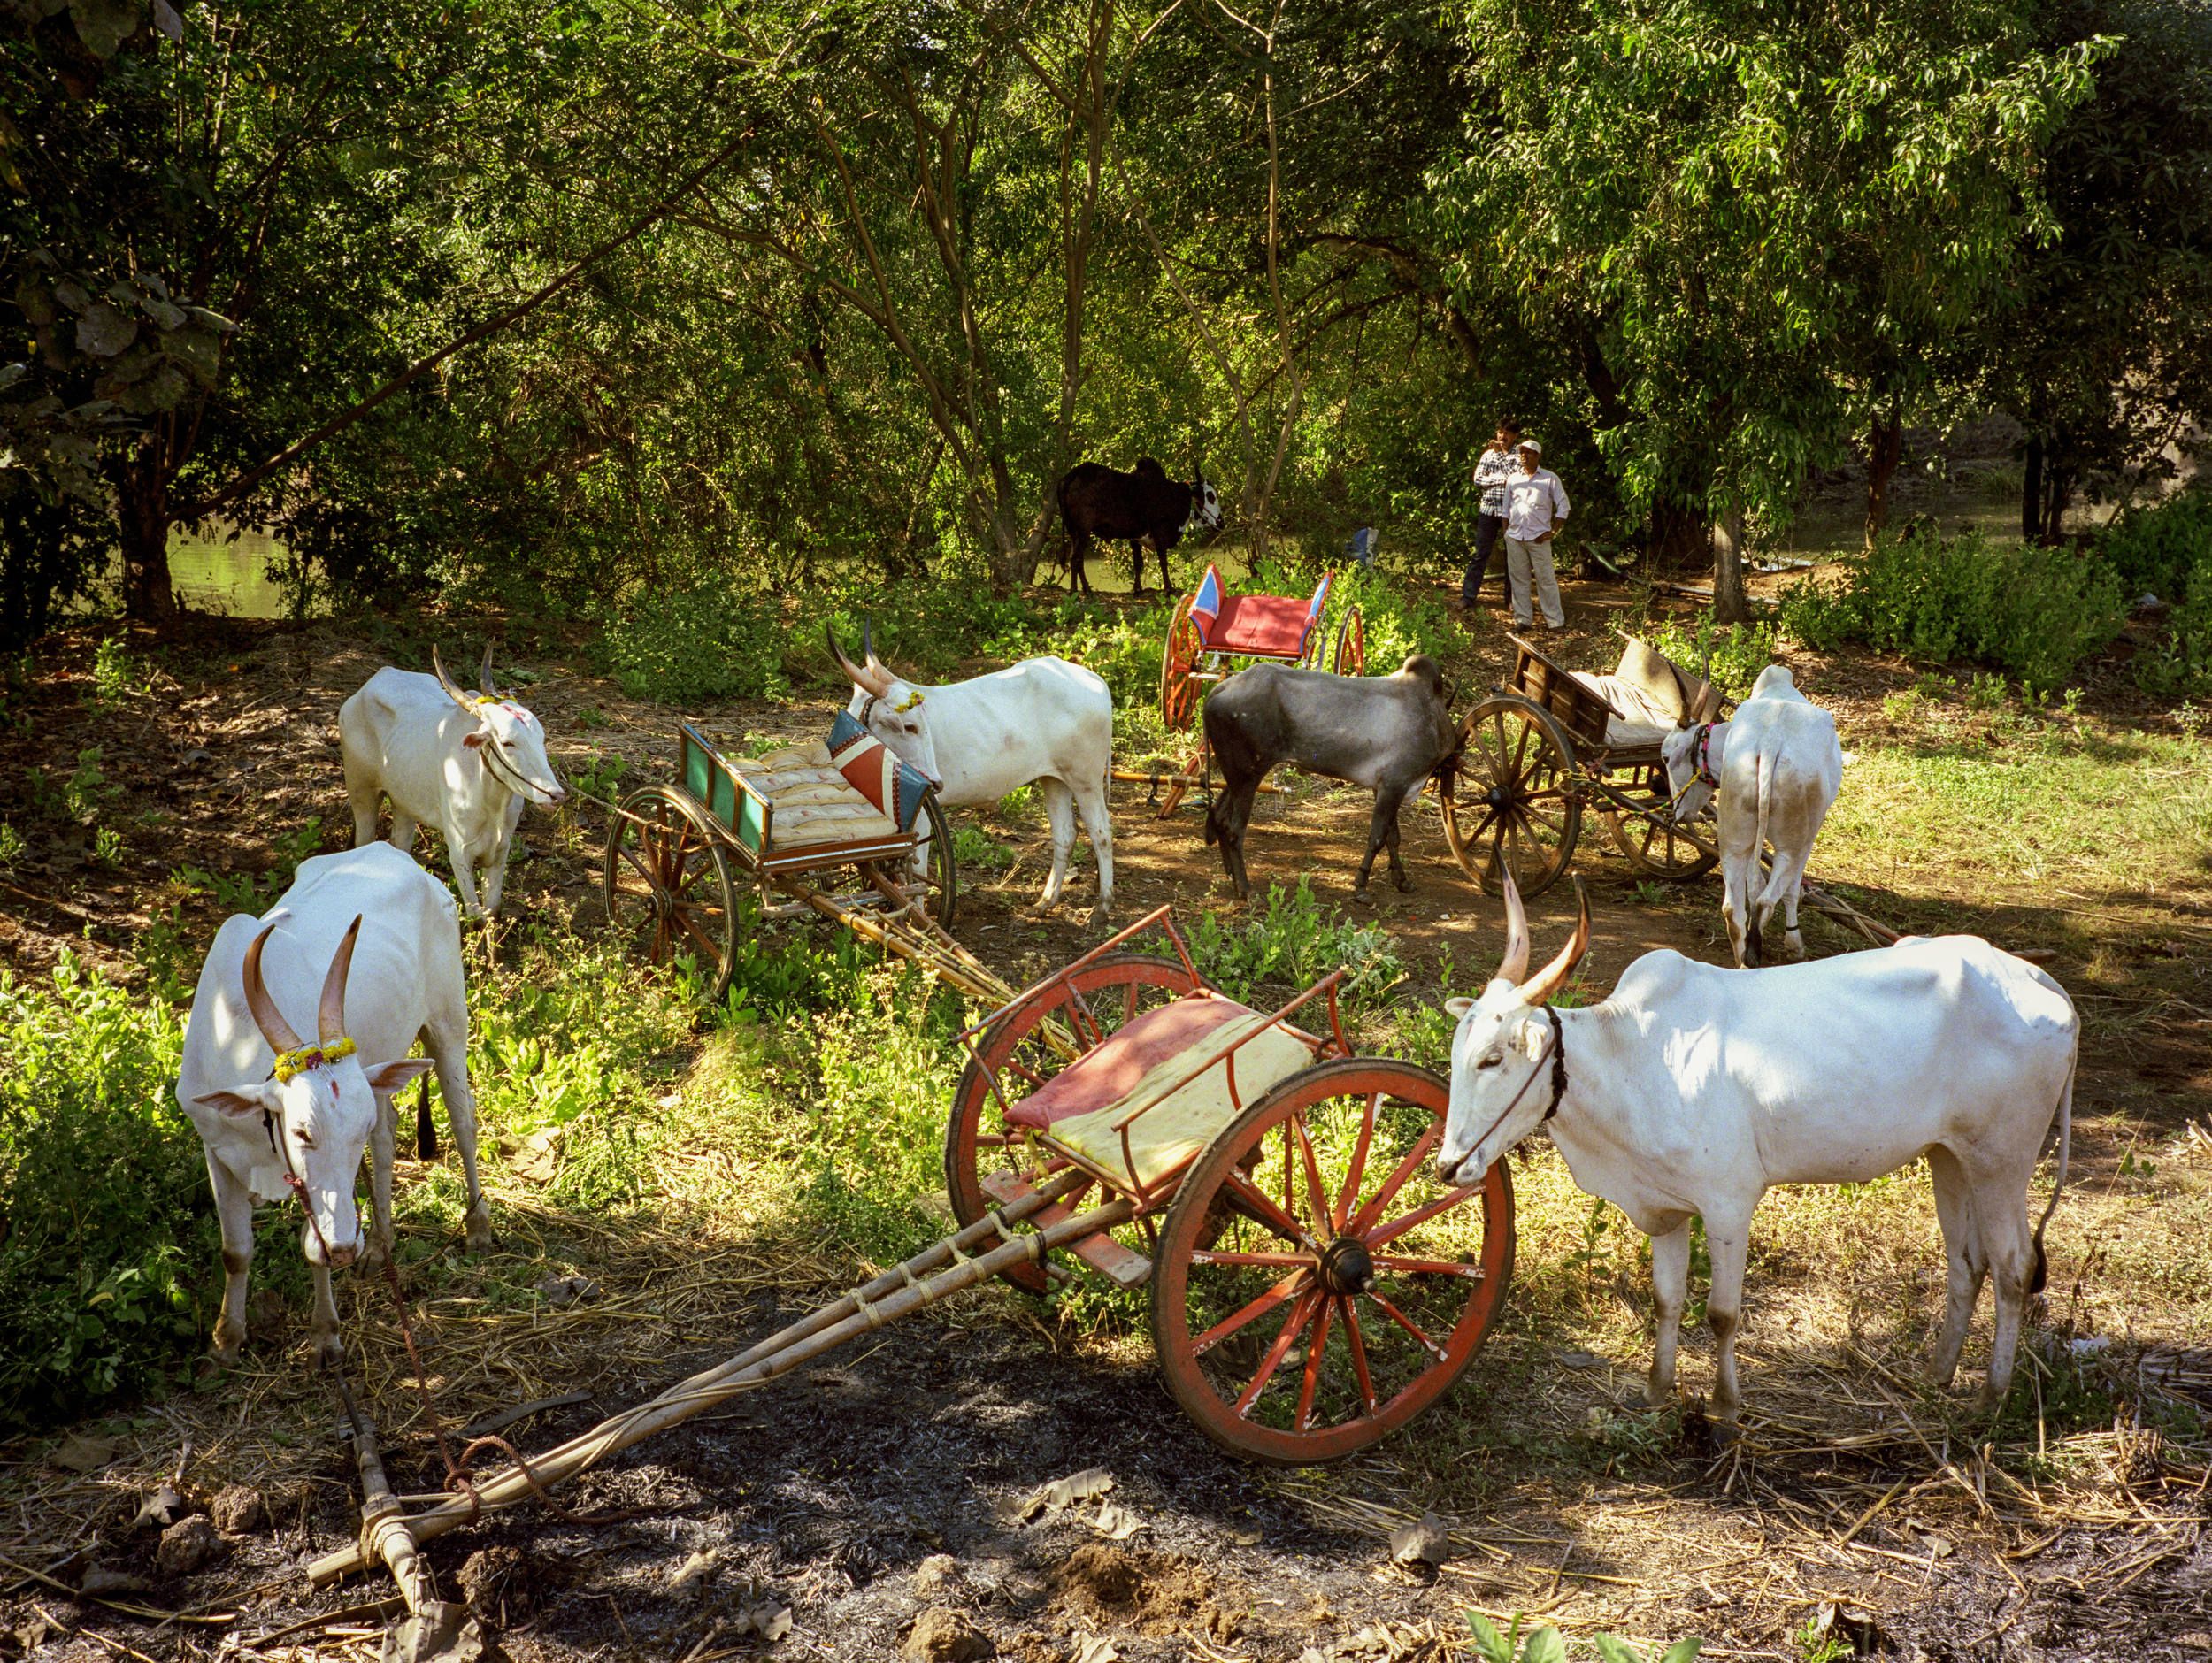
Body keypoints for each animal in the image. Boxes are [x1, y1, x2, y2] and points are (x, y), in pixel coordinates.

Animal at [179, 845, 495, 1362]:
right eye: (301, 1131)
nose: (347, 1246)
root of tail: (402, 859)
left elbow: (313, 1248)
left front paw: (325, 1334)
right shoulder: (216, 1150)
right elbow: (235, 1251)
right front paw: (226, 1340)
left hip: (448, 1021)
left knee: (463, 1121)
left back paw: (478, 1227)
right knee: (388, 1137)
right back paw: (380, 1245)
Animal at [336, 641, 566, 916]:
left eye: (540, 738)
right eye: (507, 742)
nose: (555, 795)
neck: (490, 801)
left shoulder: (501, 850)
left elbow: (493, 912)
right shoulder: (459, 852)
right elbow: (477, 918)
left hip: (404, 803)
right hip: (361, 793)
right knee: (364, 839)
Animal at [823, 628, 1115, 929]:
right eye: (910, 726)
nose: (936, 782)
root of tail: (1094, 679)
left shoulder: (923, 812)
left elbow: (916, 867)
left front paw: (918, 919)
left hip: (1086, 780)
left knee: (1101, 832)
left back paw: (1102, 907)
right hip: (1054, 780)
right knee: (1065, 834)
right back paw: (1045, 902)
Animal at [1433, 876, 2070, 1424]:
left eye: (1492, 1058)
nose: (1448, 1165)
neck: (1634, 1056)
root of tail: (2038, 980)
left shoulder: (1728, 1204)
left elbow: (1721, 1313)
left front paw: (1724, 1405)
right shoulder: (1664, 1209)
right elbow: (1666, 1301)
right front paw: (1657, 1389)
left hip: (2002, 1160)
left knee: (2013, 1267)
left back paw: (1991, 1396)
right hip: (1950, 1156)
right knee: (1967, 1262)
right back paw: (1936, 1375)